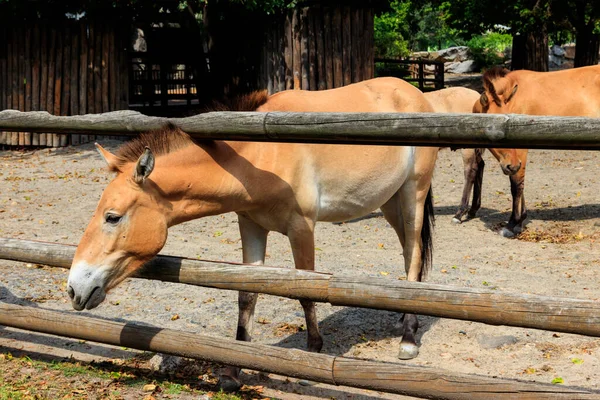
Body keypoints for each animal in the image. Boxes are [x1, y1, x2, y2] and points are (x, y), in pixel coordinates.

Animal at [65, 77, 438, 388]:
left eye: (112, 217)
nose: (73, 289)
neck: (258, 155)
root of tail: (413, 92)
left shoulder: (301, 226)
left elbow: (306, 290)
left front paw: (312, 352)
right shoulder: (251, 225)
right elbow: (247, 293)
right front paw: (233, 372)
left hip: (412, 195)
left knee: (413, 257)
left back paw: (408, 339)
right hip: (389, 202)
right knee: (409, 255)